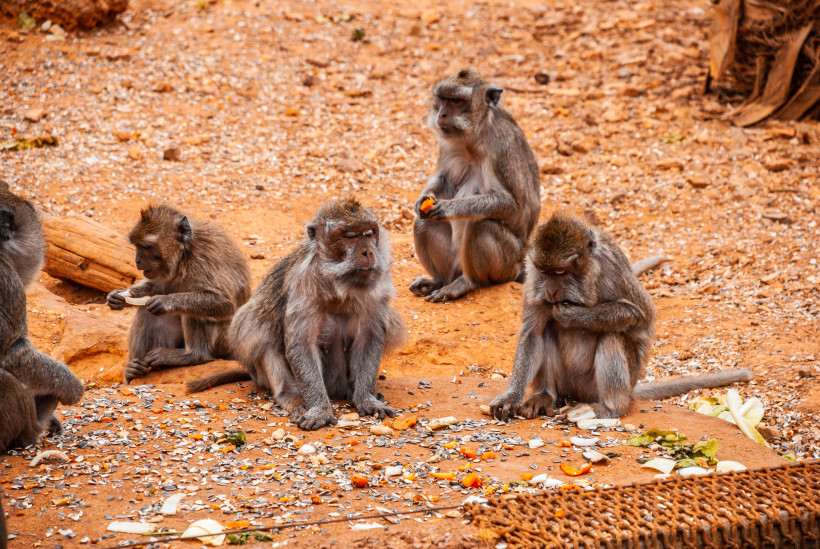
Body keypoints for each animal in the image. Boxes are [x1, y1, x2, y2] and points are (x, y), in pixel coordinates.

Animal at [107, 204, 251, 384]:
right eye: (137, 246)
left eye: (147, 247)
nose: (137, 261)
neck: (184, 256)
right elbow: (155, 287)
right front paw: (118, 297)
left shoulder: (203, 260)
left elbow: (224, 303)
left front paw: (164, 302)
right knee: (145, 313)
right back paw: (132, 371)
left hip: (224, 340)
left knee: (194, 312)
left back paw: (193, 355)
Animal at [187, 199, 406, 431]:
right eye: (349, 236)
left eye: (369, 233)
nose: (368, 252)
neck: (338, 283)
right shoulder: (303, 283)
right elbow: (301, 346)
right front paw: (319, 409)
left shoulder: (378, 286)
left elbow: (369, 340)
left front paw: (367, 399)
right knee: (257, 325)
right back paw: (291, 397)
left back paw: (357, 393)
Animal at [409, 68, 541, 303]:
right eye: (443, 99)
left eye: (456, 101)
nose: (442, 115)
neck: (473, 137)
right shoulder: (448, 143)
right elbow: (443, 179)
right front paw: (422, 200)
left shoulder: (501, 148)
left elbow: (511, 203)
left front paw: (449, 208)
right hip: (453, 263)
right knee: (423, 223)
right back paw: (439, 281)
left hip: (506, 265)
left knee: (481, 225)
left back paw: (467, 283)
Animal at [490, 213, 752, 420]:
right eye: (544, 271)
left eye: (561, 272)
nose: (551, 291)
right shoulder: (533, 277)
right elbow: (533, 332)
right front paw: (511, 397)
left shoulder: (611, 266)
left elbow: (640, 313)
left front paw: (575, 316)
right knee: (546, 332)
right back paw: (544, 396)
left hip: (600, 387)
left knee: (612, 336)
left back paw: (610, 408)